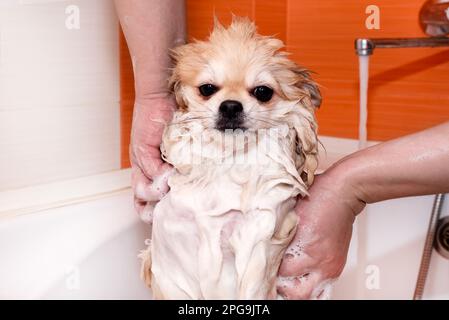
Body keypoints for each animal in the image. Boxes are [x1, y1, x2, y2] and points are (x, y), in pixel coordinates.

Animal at [139, 16, 318, 298]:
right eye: (207, 89)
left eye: (263, 92)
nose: (231, 106)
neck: (230, 162)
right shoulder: (174, 245)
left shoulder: (259, 234)